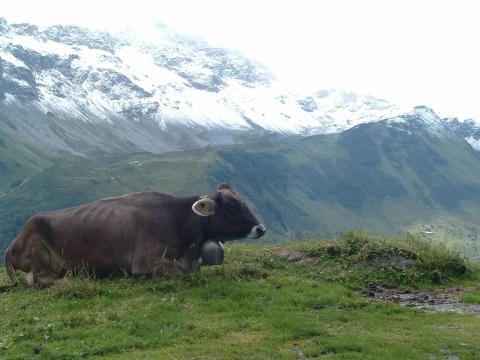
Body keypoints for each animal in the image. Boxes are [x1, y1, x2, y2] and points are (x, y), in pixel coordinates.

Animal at [4, 184, 266, 288]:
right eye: (232, 205)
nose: (261, 228)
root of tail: (11, 245)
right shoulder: (144, 261)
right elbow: (181, 272)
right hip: (36, 244)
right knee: (39, 279)